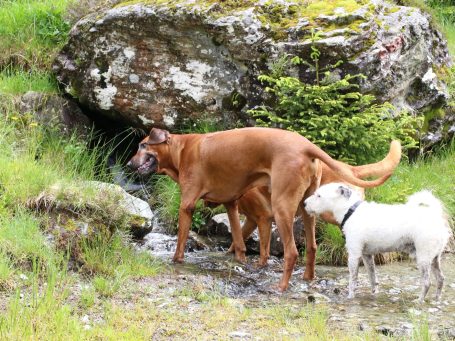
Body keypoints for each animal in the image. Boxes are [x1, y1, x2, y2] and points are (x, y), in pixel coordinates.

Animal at [226, 140, 400, 266]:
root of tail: (351, 169)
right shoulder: (251, 221)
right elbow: (238, 236)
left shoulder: (263, 219)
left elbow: (263, 247)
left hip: (331, 214)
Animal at [304, 182, 450, 302]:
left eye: (319, 195)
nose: (304, 203)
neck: (350, 211)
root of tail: (436, 216)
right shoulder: (367, 255)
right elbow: (372, 277)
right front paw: (374, 293)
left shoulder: (354, 255)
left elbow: (353, 280)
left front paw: (350, 296)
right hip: (435, 258)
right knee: (441, 279)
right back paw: (437, 299)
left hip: (424, 257)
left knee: (427, 282)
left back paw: (419, 301)